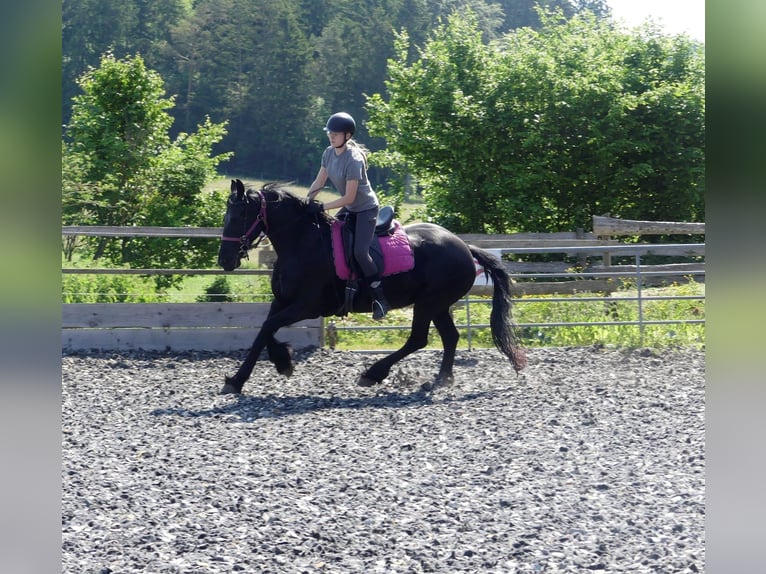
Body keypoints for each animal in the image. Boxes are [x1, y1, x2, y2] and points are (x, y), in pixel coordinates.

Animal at [216, 179, 526, 394]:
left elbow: (268, 328)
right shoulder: (281, 302)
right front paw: (272, 365)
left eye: (239, 217)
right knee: (450, 337)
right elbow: (264, 331)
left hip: (429, 303)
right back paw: (440, 380)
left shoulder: (307, 306)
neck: (303, 243)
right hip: (438, 305)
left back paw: (374, 373)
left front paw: (256, 373)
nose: (225, 260)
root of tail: (463, 246)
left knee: (419, 339)